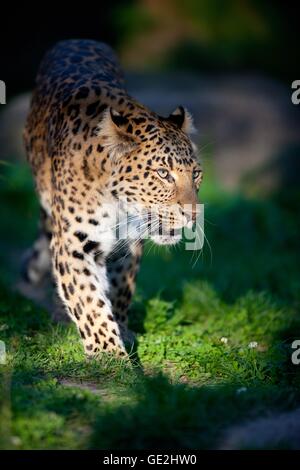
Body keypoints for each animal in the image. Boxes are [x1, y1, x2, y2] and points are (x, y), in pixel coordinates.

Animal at [22, 40, 203, 358]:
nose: (192, 215)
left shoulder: (128, 244)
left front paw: (122, 330)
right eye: (163, 173)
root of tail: (76, 39)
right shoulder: (73, 243)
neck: (118, 205)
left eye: (196, 174)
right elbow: (88, 301)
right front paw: (108, 353)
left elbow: (119, 289)